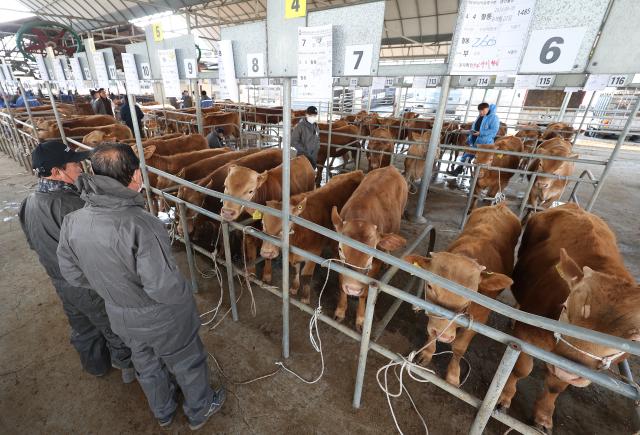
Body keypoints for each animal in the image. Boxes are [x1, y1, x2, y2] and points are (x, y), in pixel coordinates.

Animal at [258, 170, 362, 304]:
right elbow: (296, 270)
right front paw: (294, 287)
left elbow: (306, 276)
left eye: (287, 225)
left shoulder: (314, 253)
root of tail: (357, 172)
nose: (266, 252)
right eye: (262, 223)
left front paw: (305, 298)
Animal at [332, 166, 408, 330]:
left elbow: (365, 293)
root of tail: (391, 167)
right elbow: (341, 284)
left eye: (372, 255)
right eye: (340, 249)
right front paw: (340, 311)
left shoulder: (374, 268)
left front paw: (361, 319)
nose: (353, 288)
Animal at [404, 203, 520, 386]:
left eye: (473, 296)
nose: (444, 336)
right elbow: (431, 333)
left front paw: (453, 375)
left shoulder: (479, 320)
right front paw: (427, 353)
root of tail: (500, 205)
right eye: (429, 286)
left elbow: (459, 348)